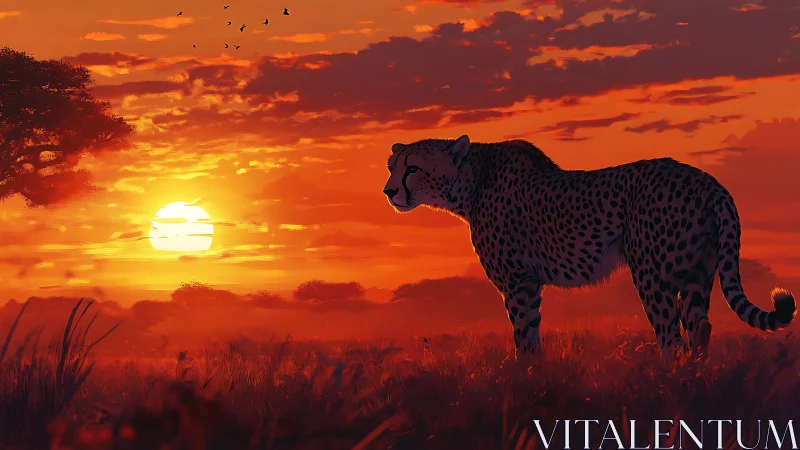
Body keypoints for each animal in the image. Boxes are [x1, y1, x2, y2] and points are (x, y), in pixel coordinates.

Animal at [382, 135, 796, 359]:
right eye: (392, 166)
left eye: (413, 168)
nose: (388, 192)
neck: (470, 180)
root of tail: (709, 181)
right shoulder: (530, 284)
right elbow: (532, 337)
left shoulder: (516, 283)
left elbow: (522, 339)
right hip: (697, 275)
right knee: (701, 330)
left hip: (652, 276)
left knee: (672, 338)